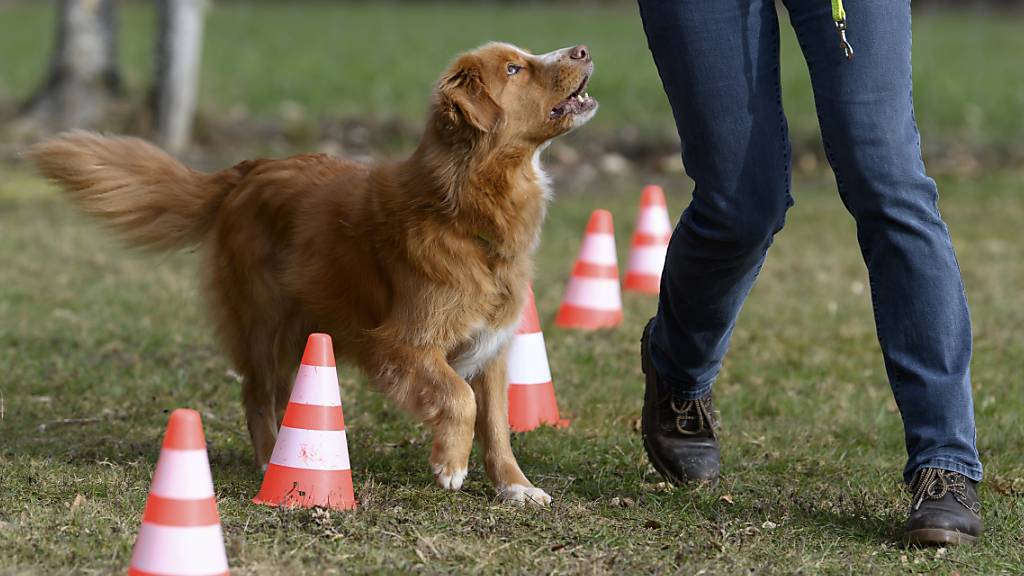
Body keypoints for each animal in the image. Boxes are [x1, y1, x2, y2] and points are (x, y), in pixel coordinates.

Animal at [28, 42, 598, 504]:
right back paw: (268, 461)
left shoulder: (491, 346)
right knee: (256, 394)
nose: (583, 50)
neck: (462, 207)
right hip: (266, 324)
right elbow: (458, 398)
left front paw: (515, 486)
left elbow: (496, 423)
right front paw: (450, 464)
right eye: (514, 68)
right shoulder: (400, 343)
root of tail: (248, 170)